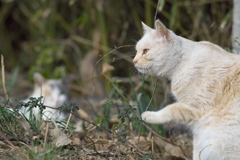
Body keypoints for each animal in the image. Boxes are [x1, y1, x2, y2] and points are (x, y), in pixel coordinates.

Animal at [134, 20, 240, 160]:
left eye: (145, 51)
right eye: (136, 51)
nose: (134, 61)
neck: (182, 63)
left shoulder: (196, 107)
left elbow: (170, 109)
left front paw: (150, 115)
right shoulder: (196, 126)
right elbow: (196, 150)